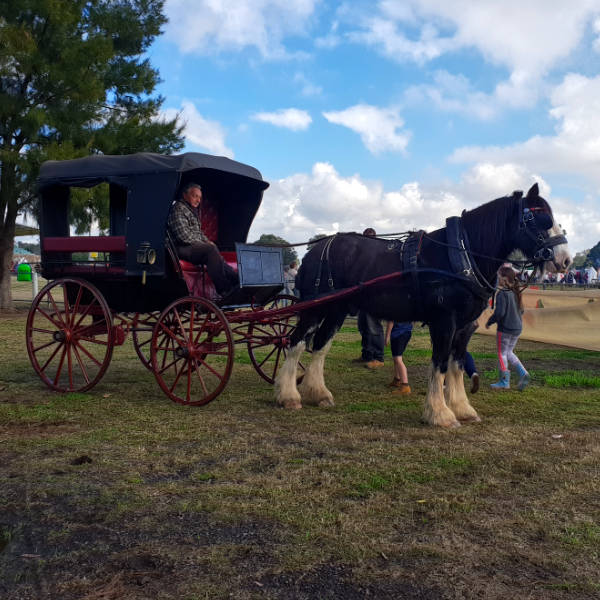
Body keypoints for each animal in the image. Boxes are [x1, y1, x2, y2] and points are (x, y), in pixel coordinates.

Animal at [276, 183, 572, 426]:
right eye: (540, 218)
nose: (565, 260)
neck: (462, 253)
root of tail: (315, 249)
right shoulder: (444, 322)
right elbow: (439, 364)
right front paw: (440, 414)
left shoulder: (464, 326)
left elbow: (456, 365)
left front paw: (463, 409)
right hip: (314, 308)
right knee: (296, 342)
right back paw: (289, 396)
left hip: (336, 309)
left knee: (320, 346)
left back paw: (318, 394)